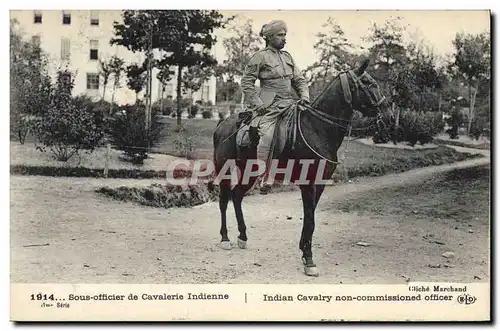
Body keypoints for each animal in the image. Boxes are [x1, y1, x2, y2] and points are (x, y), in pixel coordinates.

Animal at [211, 59, 390, 278]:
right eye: (368, 83)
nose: (388, 115)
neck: (317, 128)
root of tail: (222, 123)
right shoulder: (308, 183)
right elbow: (310, 219)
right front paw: (309, 259)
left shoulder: (320, 183)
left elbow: (310, 217)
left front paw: (305, 251)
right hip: (225, 169)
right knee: (224, 200)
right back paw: (225, 238)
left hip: (249, 172)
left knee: (236, 197)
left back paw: (243, 236)